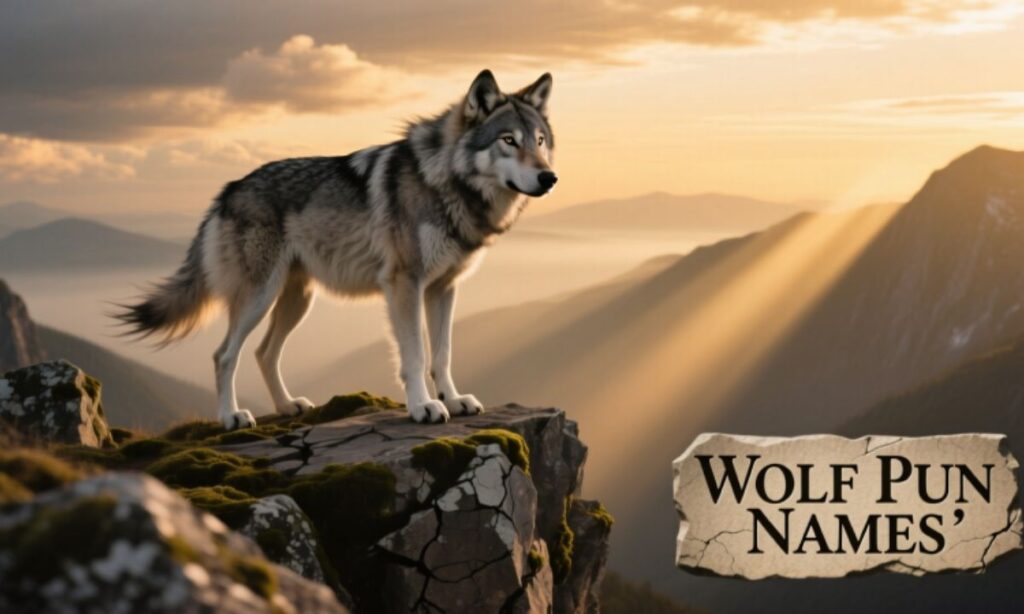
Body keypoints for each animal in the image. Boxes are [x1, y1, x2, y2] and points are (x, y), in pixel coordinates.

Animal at [116, 70, 556, 430]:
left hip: (297, 299)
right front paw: (423, 407)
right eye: (508, 141)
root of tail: (226, 191)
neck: (446, 183)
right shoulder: (405, 284)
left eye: (539, 141)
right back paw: (231, 417)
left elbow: (443, 353)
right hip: (259, 296)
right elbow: (415, 356)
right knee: (224, 355)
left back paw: (288, 406)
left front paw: (454, 399)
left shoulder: (443, 288)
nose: (549, 177)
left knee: (263, 353)